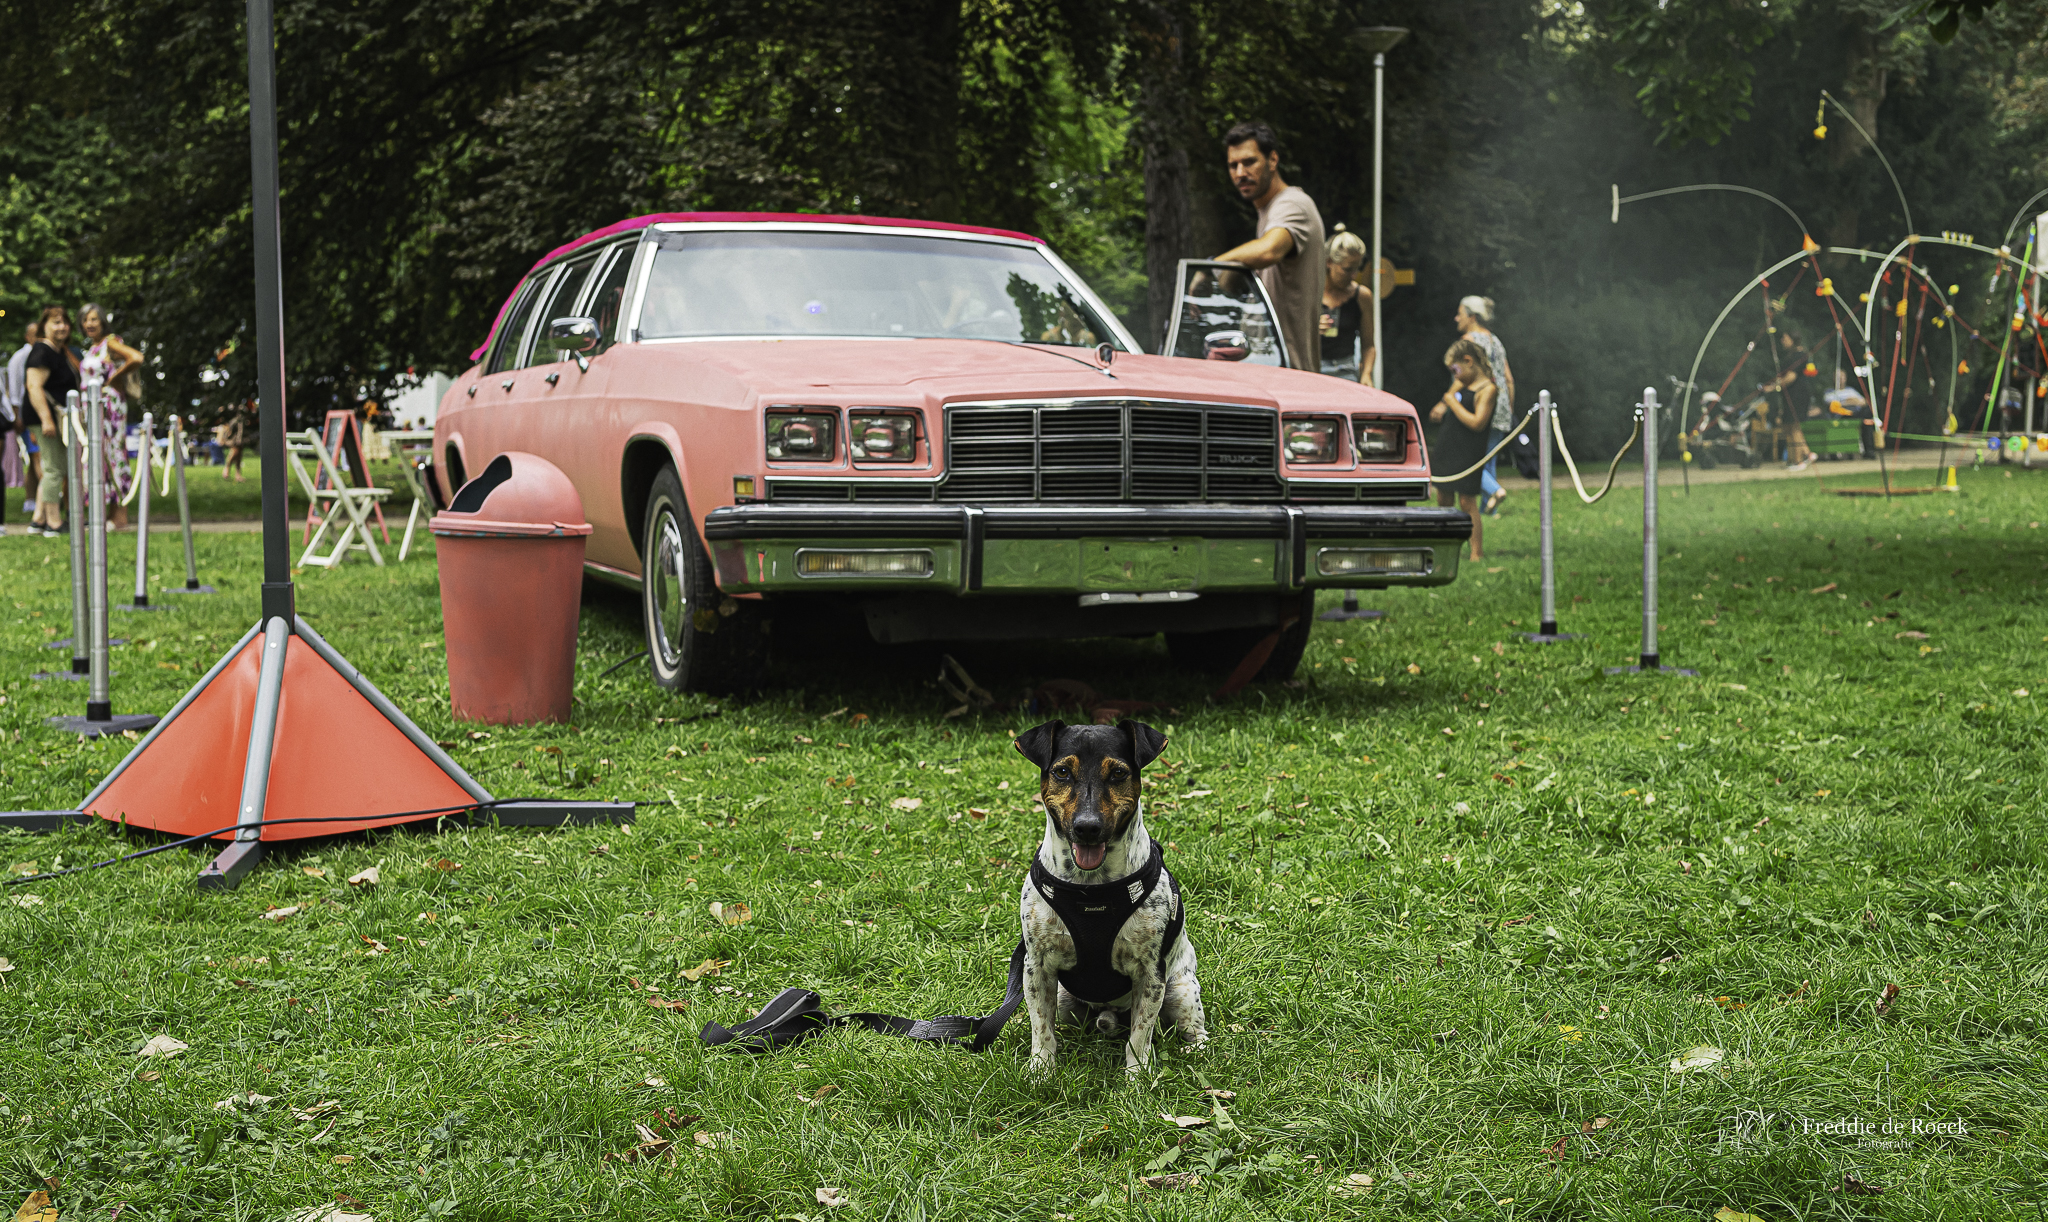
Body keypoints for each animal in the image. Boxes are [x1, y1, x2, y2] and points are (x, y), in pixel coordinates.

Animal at [1015, 720, 1204, 1072]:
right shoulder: (1037, 966)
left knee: (1192, 1027)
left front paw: (1137, 1076)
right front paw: (1041, 1070)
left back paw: (1195, 1050)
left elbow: (1140, 1035)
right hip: (1065, 998)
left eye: (1118, 773)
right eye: (1062, 772)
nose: (1087, 827)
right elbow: (1041, 1027)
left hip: (1181, 989)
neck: (1090, 889)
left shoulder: (1150, 973)